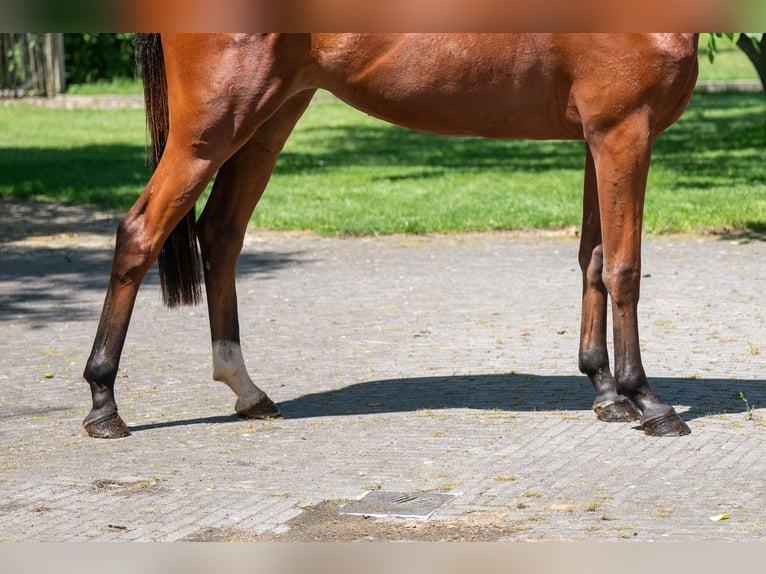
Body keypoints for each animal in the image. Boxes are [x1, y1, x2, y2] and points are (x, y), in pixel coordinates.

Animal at [83, 33, 699, 439]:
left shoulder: (600, 137)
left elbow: (593, 259)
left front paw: (606, 392)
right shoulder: (624, 131)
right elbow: (624, 268)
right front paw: (648, 400)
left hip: (268, 117)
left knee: (220, 235)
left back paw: (247, 390)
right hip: (210, 129)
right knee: (141, 233)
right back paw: (104, 403)